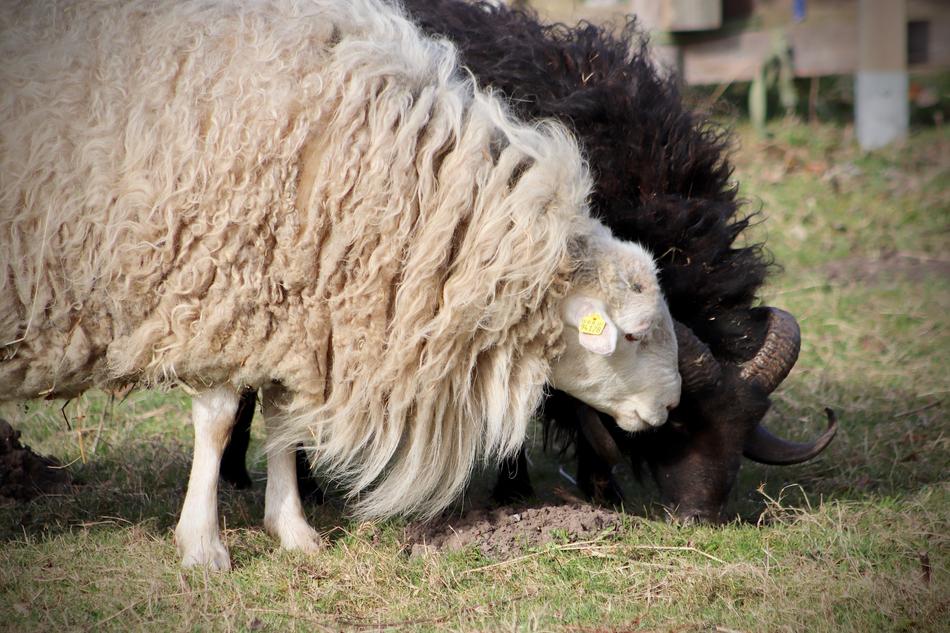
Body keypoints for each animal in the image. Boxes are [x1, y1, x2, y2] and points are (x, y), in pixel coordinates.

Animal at [0, 0, 680, 568]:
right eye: (634, 335)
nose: (670, 406)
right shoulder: (217, 296)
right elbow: (218, 422)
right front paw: (204, 546)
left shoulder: (288, 314)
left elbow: (283, 420)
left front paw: (293, 531)